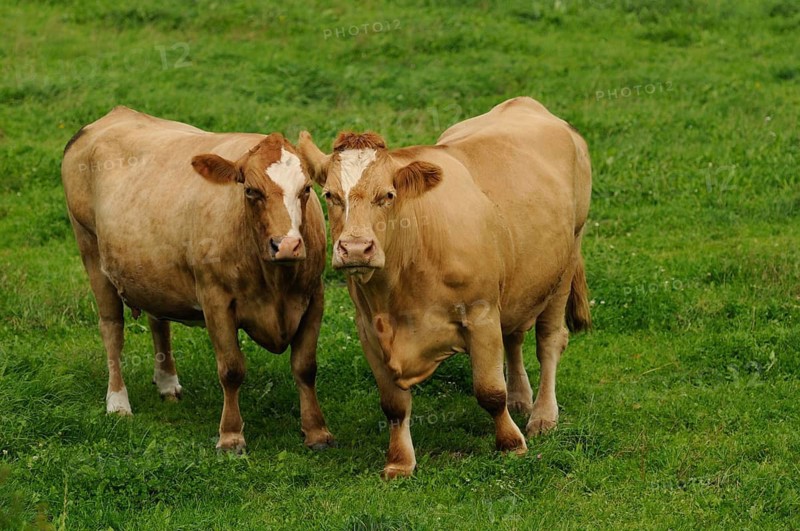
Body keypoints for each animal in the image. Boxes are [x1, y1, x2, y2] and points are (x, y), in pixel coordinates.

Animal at [61, 106, 334, 452]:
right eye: (250, 190)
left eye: (307, 189)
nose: (286, 245)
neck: (276, 282)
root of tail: (112, 116)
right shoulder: (215, 299)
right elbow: (231, 369)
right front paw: (230, 437)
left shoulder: (314, 295)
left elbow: (305, 367)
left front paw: (316, 432)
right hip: (91, 252)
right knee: (112, 329)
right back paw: (118, 402)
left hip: (152, 270)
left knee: (158, 321)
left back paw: (167, 382)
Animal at [296, 97, 592, 478]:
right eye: (330, 195)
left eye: (388, 195)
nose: (357, 248)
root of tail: (526, 103)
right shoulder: (369, 328)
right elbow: (393, 404)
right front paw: (400, 462)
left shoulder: (481, 313)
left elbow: (489, 390)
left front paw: (511, 444)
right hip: (519, 281)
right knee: (514, 336)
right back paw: (520, 398)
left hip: (565, 263)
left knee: (550, 341)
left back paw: (543, 414)